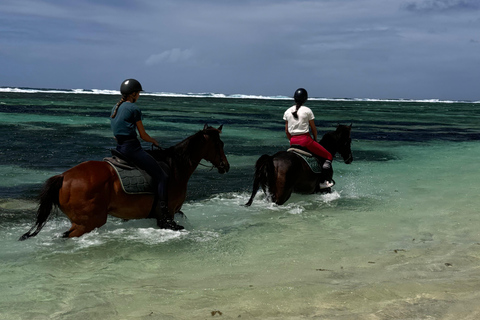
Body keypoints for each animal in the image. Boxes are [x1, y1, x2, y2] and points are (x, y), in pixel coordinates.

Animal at [21, 125, 232, 240]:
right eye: (219, 144)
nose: (226, 166)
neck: (175, 167)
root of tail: (64, 176)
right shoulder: (168, 213)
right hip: (87, 222)